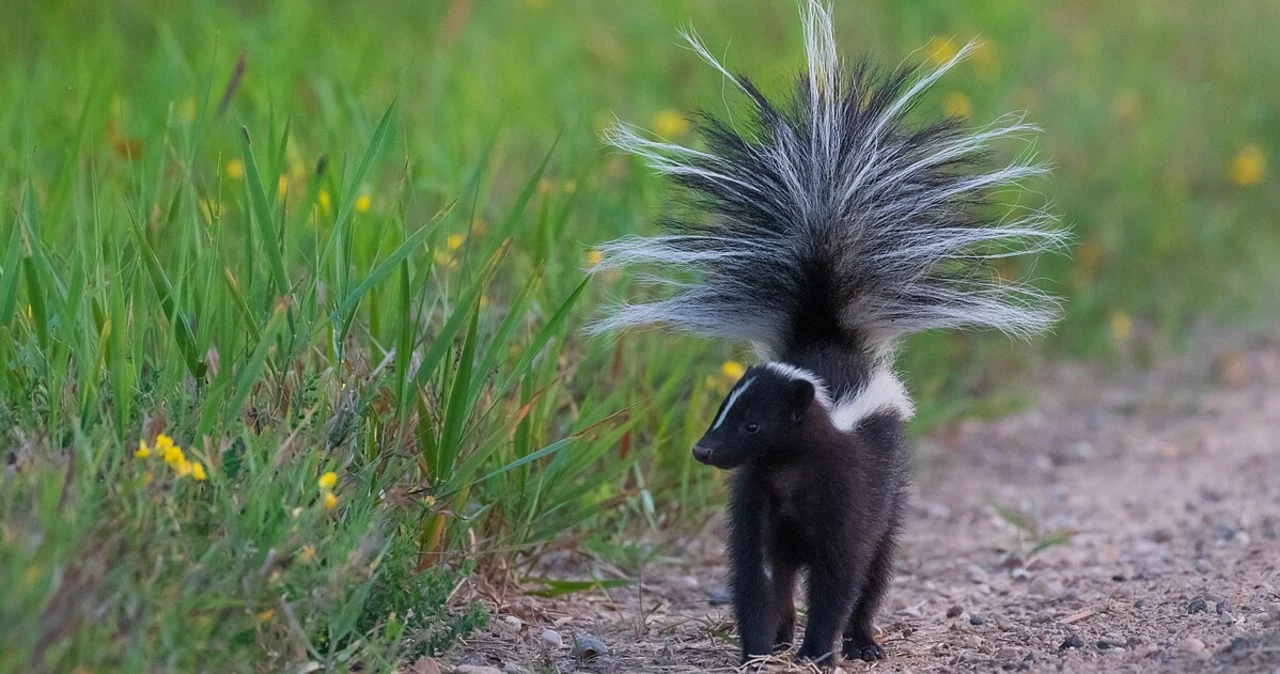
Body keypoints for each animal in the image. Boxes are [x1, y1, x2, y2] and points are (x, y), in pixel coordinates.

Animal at [586, 0, 1059, 665]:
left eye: (753, 424)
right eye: (721, 413)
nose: (704, 451)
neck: (790, 475)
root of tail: (828, 333)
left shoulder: (849, 495)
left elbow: (841, 573)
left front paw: (819, 651)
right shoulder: (758, 505)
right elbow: (757, 576)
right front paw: (759, 649)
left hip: (894, 487)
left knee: (877, 569)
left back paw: (862, 641)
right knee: (792, 573)